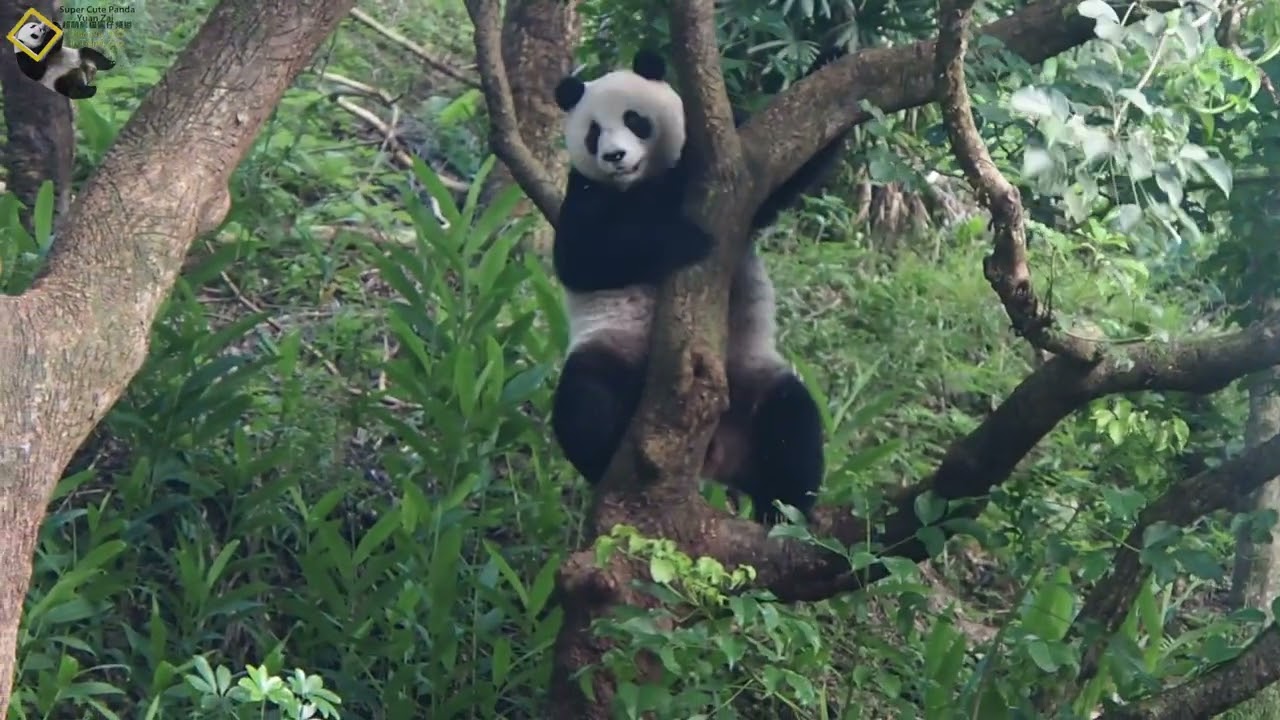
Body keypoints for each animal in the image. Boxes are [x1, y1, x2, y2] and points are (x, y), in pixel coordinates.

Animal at [549, 48, 848, 524]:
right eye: (593, 132)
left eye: (635, 119)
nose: (615, 156)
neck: (642, 182)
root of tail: (715, 457)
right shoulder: (584, 191)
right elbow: (580, 256)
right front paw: (685, 238)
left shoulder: (732, 164)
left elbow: (783, 182)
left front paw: (830, 63)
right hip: (613, 352)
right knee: (584, 402)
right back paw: (605, 457)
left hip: (750, 382)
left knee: (793, 423)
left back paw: (784, 511)